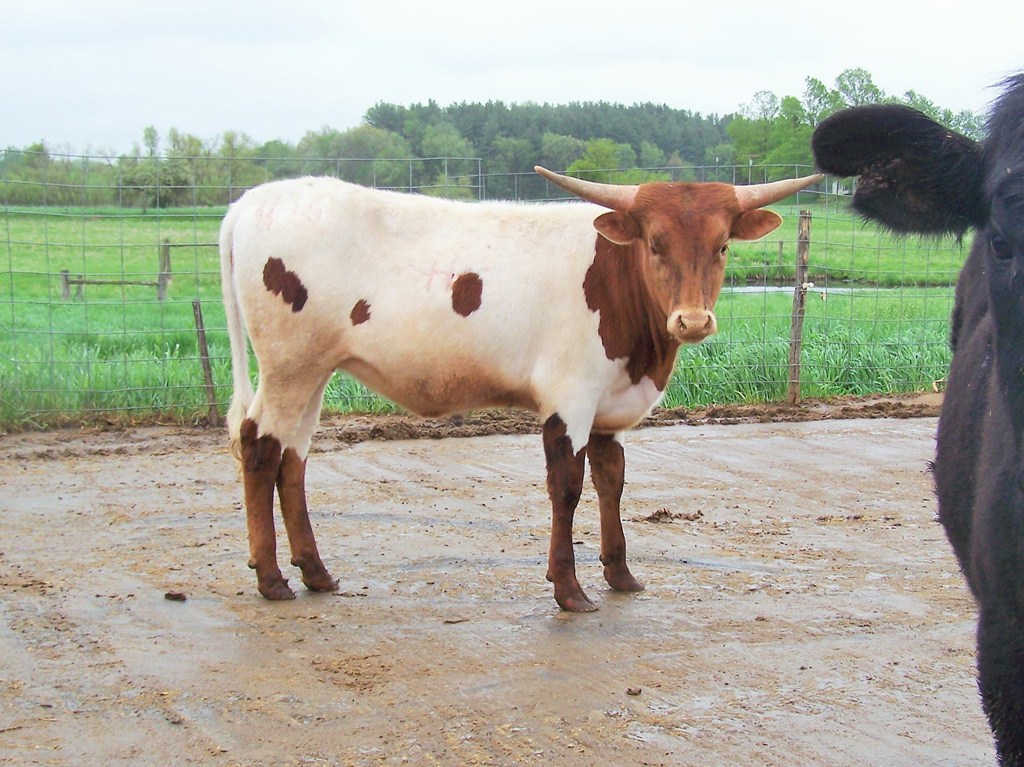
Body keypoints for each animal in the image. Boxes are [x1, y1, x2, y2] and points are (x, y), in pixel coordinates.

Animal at [219, 167, 821, 612]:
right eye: (654, 242)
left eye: (721, 246)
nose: (692, 322)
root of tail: (250, 202)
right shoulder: (569, 398)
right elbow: (567, 488)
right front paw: (570, 590)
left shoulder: (607, 406)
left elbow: (611, 482)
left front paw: (621, 574)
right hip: (290, 367)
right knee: (260, 447)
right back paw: (272, 580)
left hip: (311, 373)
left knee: (292, 459)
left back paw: (316, 573)